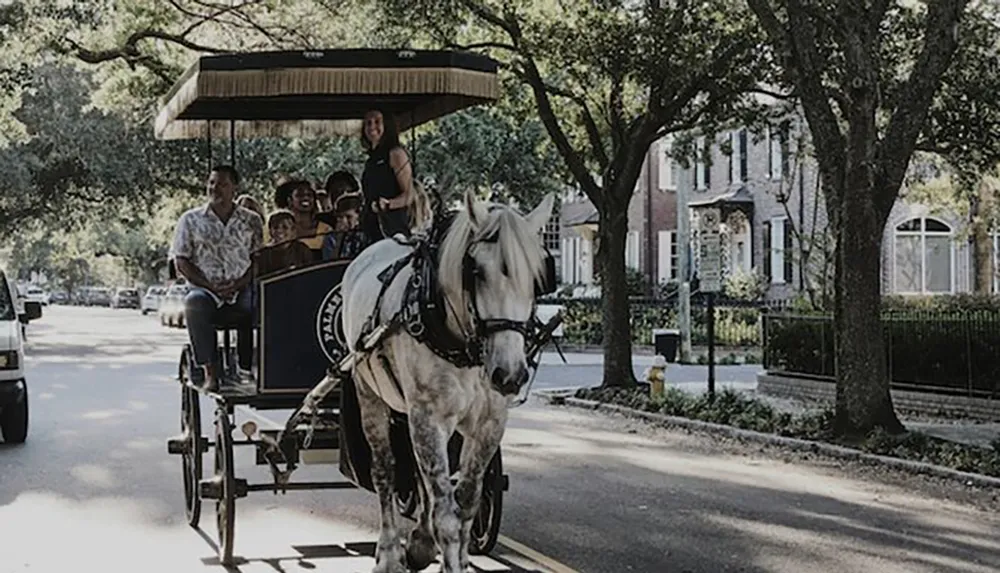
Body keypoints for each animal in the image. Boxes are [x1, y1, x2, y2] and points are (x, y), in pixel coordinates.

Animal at [340, 192, 552, 572]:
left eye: (536, 277)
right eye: (476, 271)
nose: (510, 374)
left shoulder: (489, 422)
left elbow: (465, 504)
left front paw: (455, 556)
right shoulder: (428, 417)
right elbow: (447, 517)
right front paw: (443, 556)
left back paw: (420, 542)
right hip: (370, 395)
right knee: (385, 470)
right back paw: (390, 551)